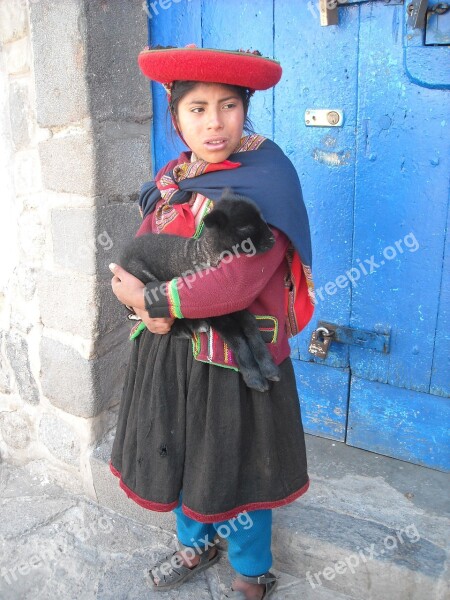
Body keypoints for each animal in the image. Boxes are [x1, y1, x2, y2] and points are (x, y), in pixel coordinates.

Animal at [119, 190, 282, 392]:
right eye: (245, 227)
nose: (272, 239)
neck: (207, 254)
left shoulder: (232, 303)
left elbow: (251, 326)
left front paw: (269, 369)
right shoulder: (216, 313)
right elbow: (237, 339)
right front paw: (254, 378)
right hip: (143, 276)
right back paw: (188, 328)